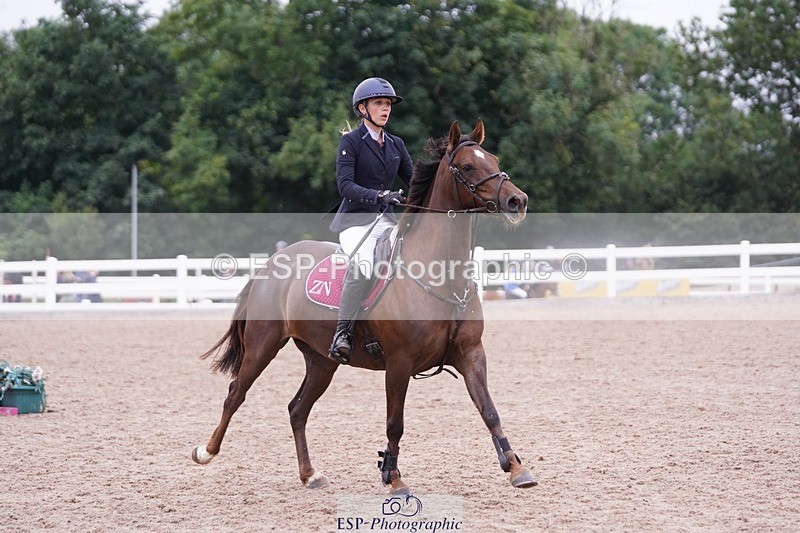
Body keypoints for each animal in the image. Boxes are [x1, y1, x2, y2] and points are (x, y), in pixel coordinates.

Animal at [192, 119, 537, 493]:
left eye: (494, 158)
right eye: (469, 166)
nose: (517, 200)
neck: (441, 277)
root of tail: (271, 263)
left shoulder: (471, 353)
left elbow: (489, 410)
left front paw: (516, 467)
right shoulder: (399, 362)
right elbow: (395, 423)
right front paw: (393, 477)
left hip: (322, 361)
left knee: (297, 409)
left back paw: (310, 474)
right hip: (262, 346)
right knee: (235, 394)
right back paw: (206, 452)